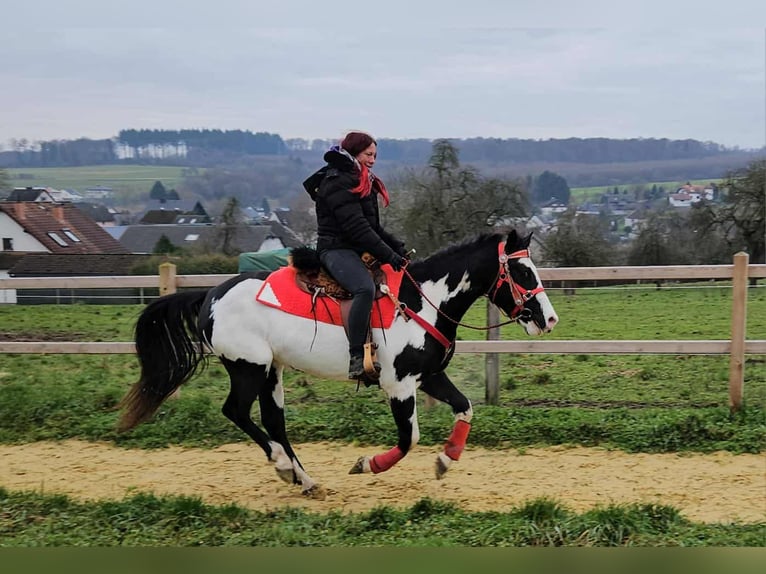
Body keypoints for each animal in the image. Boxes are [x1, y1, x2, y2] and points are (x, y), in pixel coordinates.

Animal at [118, 229, 558, 499]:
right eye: (521, 270)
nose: (548, 319)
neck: (420, 302)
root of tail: (210, 295)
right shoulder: (399, 385)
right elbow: (408, 439)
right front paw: (367, 464)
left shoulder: (428, 376)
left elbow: (465, 408)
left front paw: (445, 460)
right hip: (248, 367)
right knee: (237, 412)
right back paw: (283, 467)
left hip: (271, 370)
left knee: (273, 422)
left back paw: (306, 481)